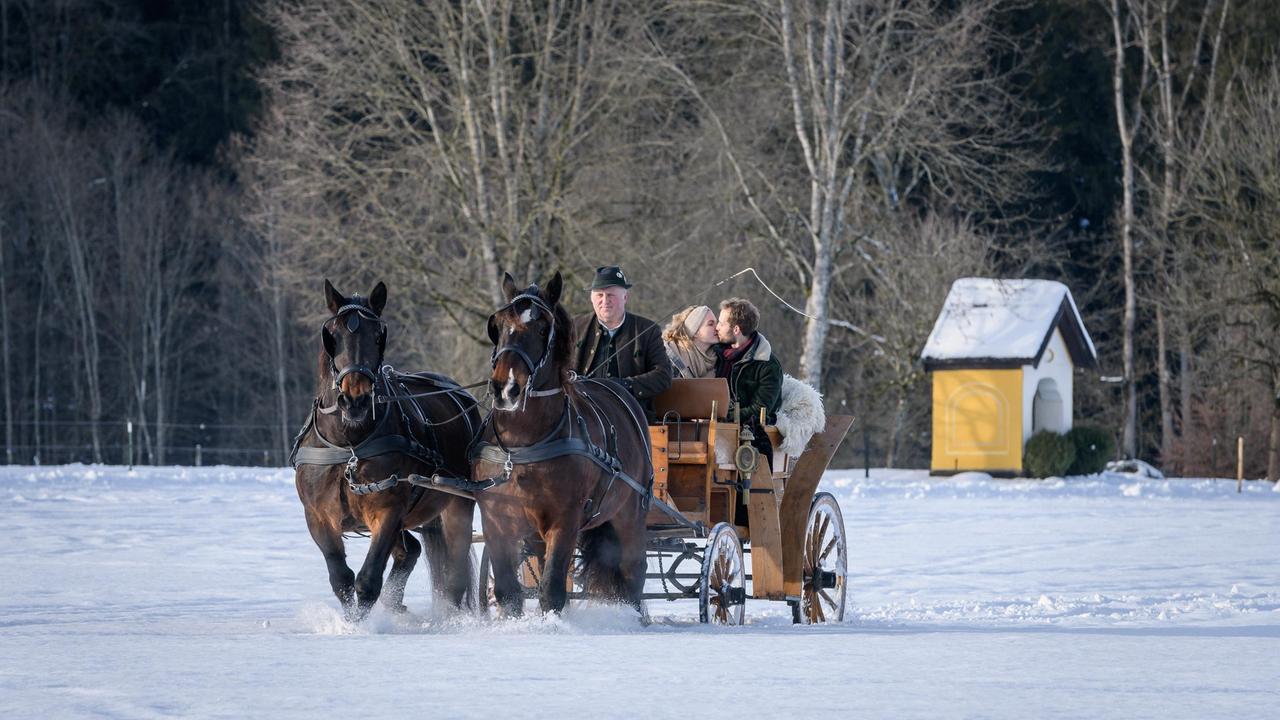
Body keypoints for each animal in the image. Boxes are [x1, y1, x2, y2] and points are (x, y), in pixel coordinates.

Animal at [290, 278, 481, 620]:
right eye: (332, 335)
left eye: (379, 335)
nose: (355, 399)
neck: (349, 444)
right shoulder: (317, 516)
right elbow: (341, 579)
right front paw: (351, 622)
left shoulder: (388, 511)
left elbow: (367, 580)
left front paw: (361, 624)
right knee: (410, 550)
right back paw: (396, 606)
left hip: (457, 501)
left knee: (454, 564)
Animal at [471, 270, 650, 617]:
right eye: (497, 324)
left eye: (543, 328)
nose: (505, 388)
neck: (523, 445)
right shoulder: (496, 519)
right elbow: (508, 591)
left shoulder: (565, 519)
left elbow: (552, 589)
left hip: (630, 514)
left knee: (633, 570)